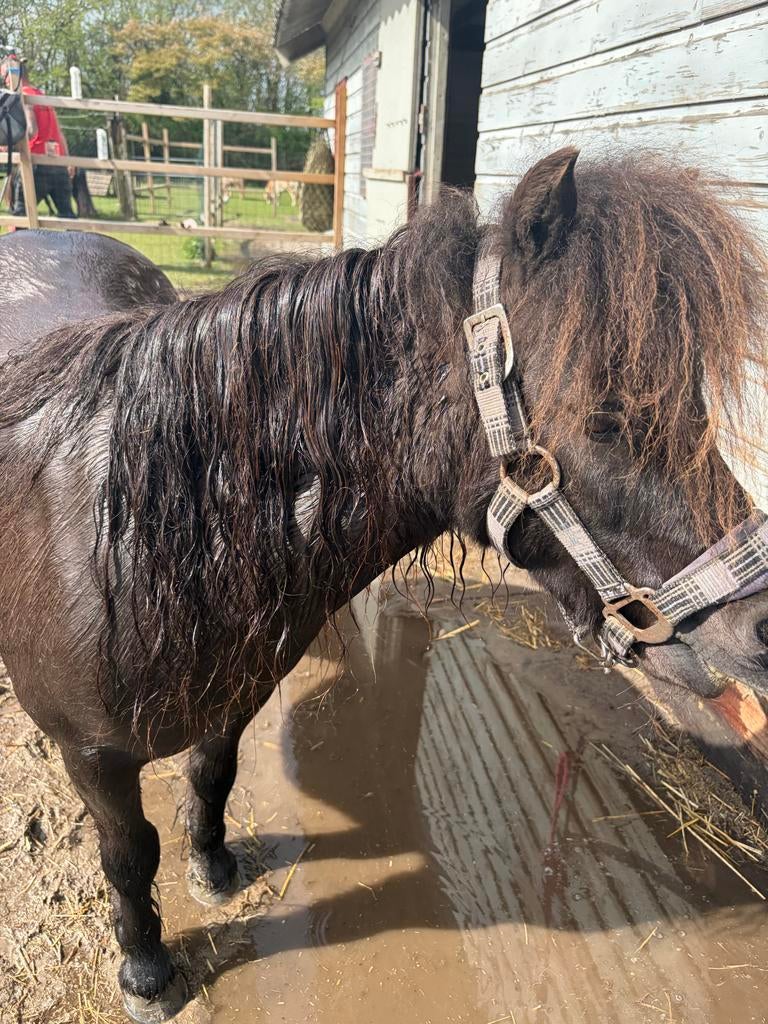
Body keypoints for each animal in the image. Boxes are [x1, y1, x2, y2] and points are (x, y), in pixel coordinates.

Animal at [0, 149, 766, 1022]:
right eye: (607, 415)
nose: (759, 626)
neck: (133, 535)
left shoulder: (234, 702)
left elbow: (210, 778)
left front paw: (215, 871)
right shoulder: (92, 758)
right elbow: (129, 855)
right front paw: (147, 971)